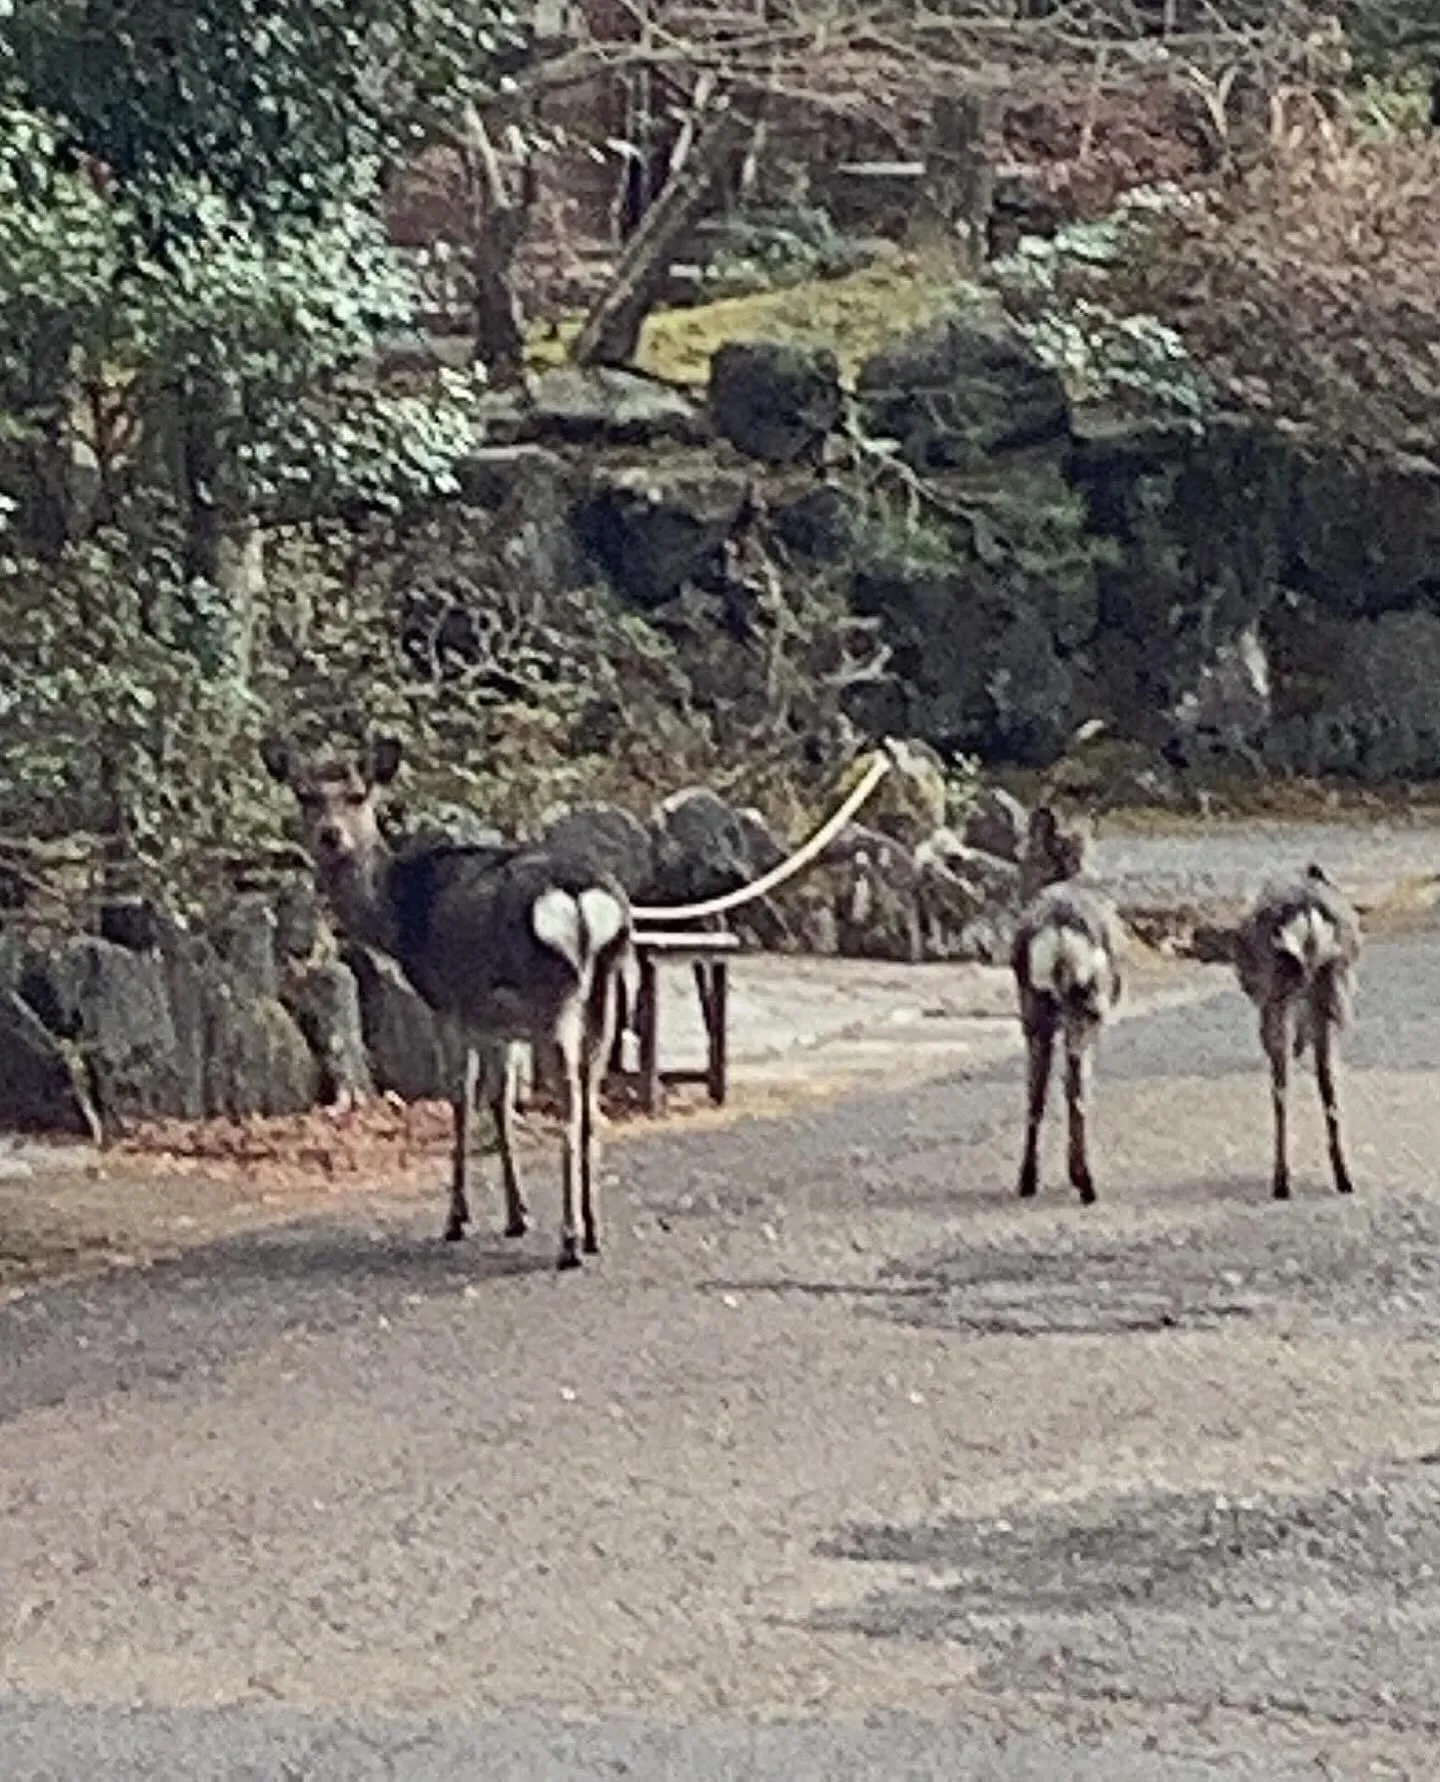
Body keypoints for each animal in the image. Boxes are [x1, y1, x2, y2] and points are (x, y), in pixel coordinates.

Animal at [261, 734, 634, 1268]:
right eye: (305, 795)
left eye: (357, 795)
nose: (331, 836)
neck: (396, 919)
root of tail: (580, 899)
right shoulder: (497, 1022)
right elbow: (499, 1102)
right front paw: (517, 1216)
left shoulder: (449, 1003)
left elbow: (459, 1099)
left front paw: (457, 1219)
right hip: (606, 991)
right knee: (590, 1103)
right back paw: (592, 1232)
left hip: (552, 996)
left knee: (570, 1103)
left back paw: (568, 1240)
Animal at [1005, 812, 1119, 1204]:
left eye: (1025, 859)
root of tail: (1057, 932)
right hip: (1084, 1006)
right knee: (1076, 1089)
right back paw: (1086, 1183)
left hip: (1033, 1009)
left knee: (1034, 1094)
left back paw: (1027, 1180)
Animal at [1240, 858, 1361, 1197]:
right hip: (1332, 991)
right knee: (1329, 1083)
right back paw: (1343, 1179)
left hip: (1278, 997)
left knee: (1281, 1088)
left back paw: (1281, 1181)